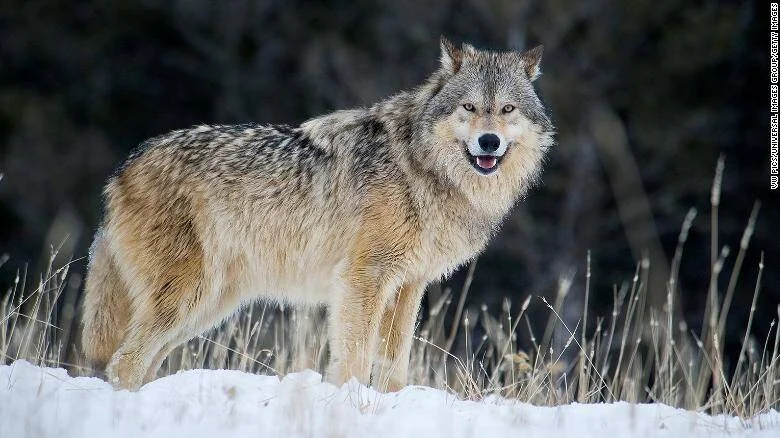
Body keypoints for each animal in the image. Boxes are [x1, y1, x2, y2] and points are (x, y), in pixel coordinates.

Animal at [81, 38, 554, 391]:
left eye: (507, 109)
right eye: (469, 108)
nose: (489, 141)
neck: (422, 167)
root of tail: (123, 168)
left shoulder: (408, 286)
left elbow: (394, 366)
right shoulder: (363, 278)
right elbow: (354, 359)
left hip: (207, 306)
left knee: (140, 363)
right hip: (188, 297)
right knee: (124, 362)